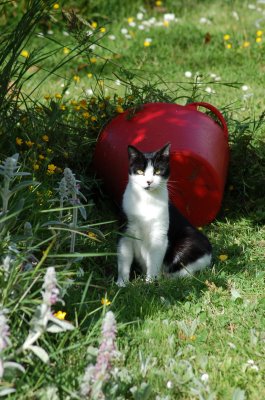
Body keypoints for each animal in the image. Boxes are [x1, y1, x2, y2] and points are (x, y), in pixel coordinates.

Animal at [116, 144, 211, 288]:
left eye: (158, 171)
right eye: (140, 171)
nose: (149, 181)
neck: (146, 199)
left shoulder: (159, 235)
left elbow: (154, 260)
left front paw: (150, 283)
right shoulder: (126, 230)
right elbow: (124, 258)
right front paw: (121, 283)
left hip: (190, 241)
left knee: (184, 272)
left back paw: (166, 280)